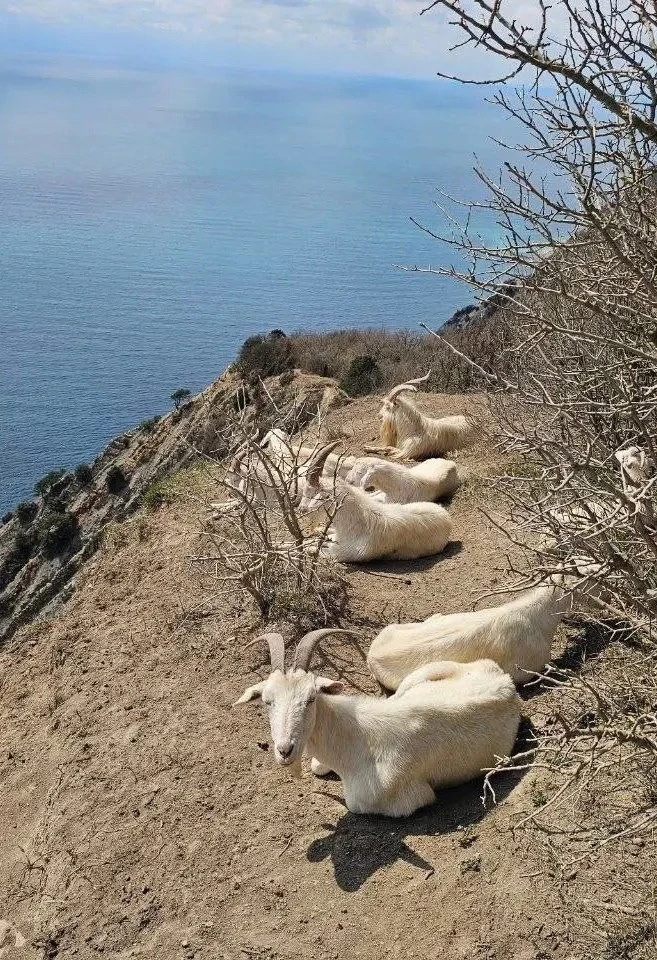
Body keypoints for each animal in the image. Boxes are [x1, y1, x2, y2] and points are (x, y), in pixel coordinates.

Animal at [235, 630, 522, 817]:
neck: (356, 739)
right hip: (419, 676)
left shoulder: (406, 798)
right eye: (267, 701)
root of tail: (504, 682)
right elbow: (317, 766)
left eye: (311, 698)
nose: (285, 750)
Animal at [299, 442, 453, 562]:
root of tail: (445, 516)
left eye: (311, 492)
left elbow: (311, 548)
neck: (361, 523)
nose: (301, 510)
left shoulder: (340, 554)